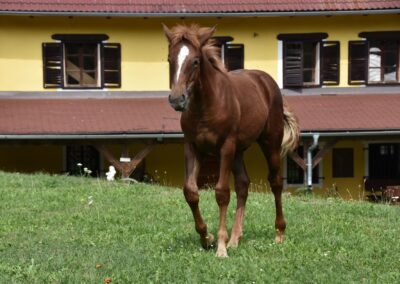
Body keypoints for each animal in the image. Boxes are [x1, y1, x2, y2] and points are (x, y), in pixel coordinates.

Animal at [163, 24, 300, 258]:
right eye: (169, 59)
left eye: (196, 61)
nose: (177, 99)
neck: (206, 105)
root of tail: (266, 82)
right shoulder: (192, 146)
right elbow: (190, 191)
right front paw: (206, 238)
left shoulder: (225, 146)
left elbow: (222, 193)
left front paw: (220, 246)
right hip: (238, 151)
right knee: (243, 184)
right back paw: (235, 238)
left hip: (269, 143)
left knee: (275, 182)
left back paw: (279, 233)